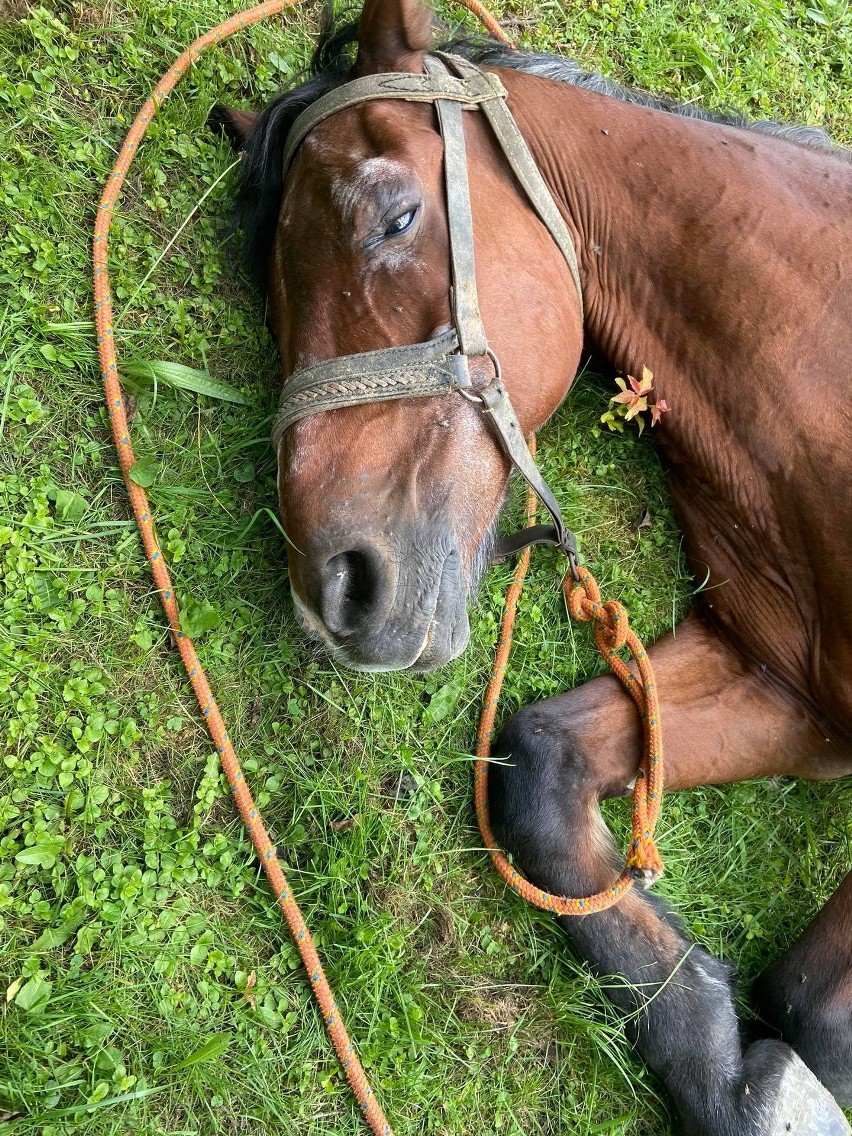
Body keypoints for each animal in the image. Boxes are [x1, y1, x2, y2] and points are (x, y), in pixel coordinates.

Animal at [212, 4, 852, 1131]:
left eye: (393, 219)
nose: (335, 584)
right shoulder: (788, 689)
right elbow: (541, 765)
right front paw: (738, 1076)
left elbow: (813, 998)